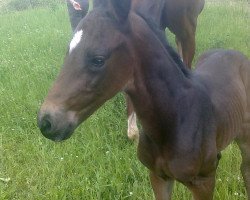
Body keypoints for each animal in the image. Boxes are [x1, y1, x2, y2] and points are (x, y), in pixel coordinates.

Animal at [37, 0, 250, 199]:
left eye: (98, 59)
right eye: (68, 52)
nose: (45, 121)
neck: (177, 115)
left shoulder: (203, 181)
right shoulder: (158, 176)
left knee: (245, 169)